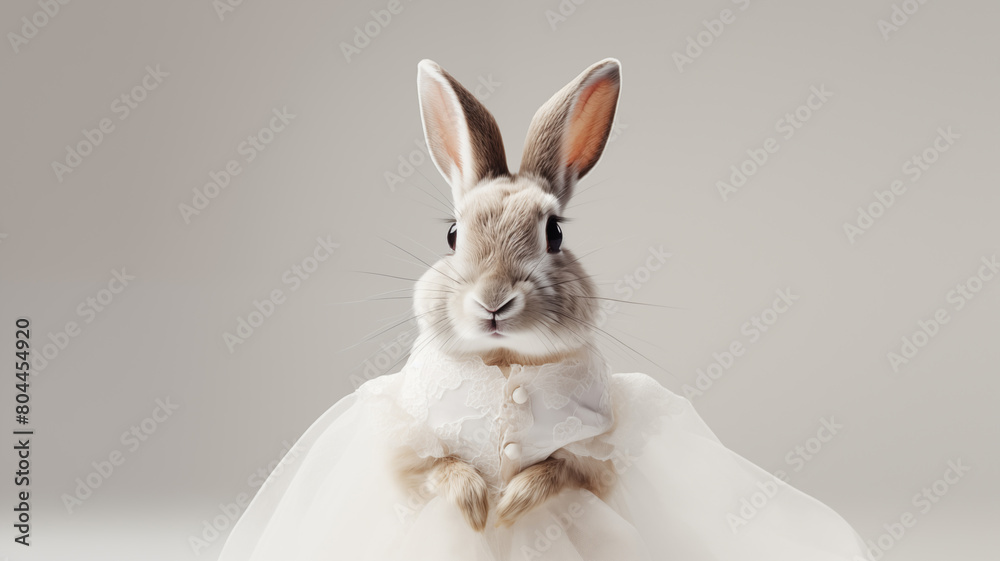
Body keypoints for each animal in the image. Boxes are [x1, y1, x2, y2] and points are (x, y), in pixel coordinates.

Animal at [393, 58, 623, 531]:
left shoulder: (594, 452)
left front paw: (510, 508)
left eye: (555, 234)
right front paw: (476, 509)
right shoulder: (407, 445)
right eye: (452, 234)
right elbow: (440, 465)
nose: (493, 301)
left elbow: (558, 468)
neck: (504, 360)